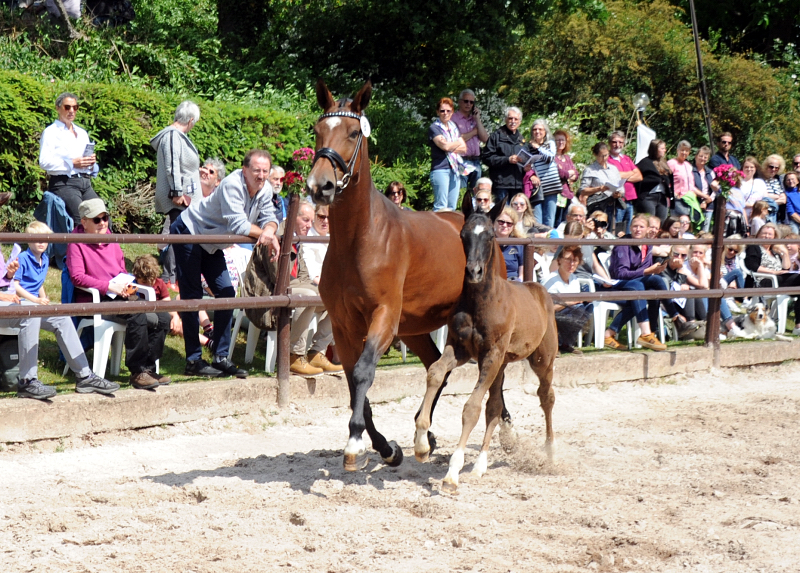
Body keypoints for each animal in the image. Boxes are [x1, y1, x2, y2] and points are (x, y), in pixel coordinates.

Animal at [308, 79, 506, 470]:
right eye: (318, 131)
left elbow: (364, 372)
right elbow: (353, 382)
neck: (360, 239)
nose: (320, 186)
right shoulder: (343, 324)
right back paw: (424, 435)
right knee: (436, 368)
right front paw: (386, 447)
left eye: (353, 133)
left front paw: (356, 441)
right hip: (414, 330)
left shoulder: (384, 317)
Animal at [412, 194, 556, 490]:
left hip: (542, 359)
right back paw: (480, 465)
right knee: (495, 407)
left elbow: (471, 408)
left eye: (490, 235)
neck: (482, 300)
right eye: (463, 234)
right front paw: (421, 444)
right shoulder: (461, 350)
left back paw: (549, 453)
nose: (473, 271)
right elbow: (436, 372)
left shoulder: (490, 354)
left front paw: (452, 473)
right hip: (501, 364)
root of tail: (540, 290)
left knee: (546, 397)